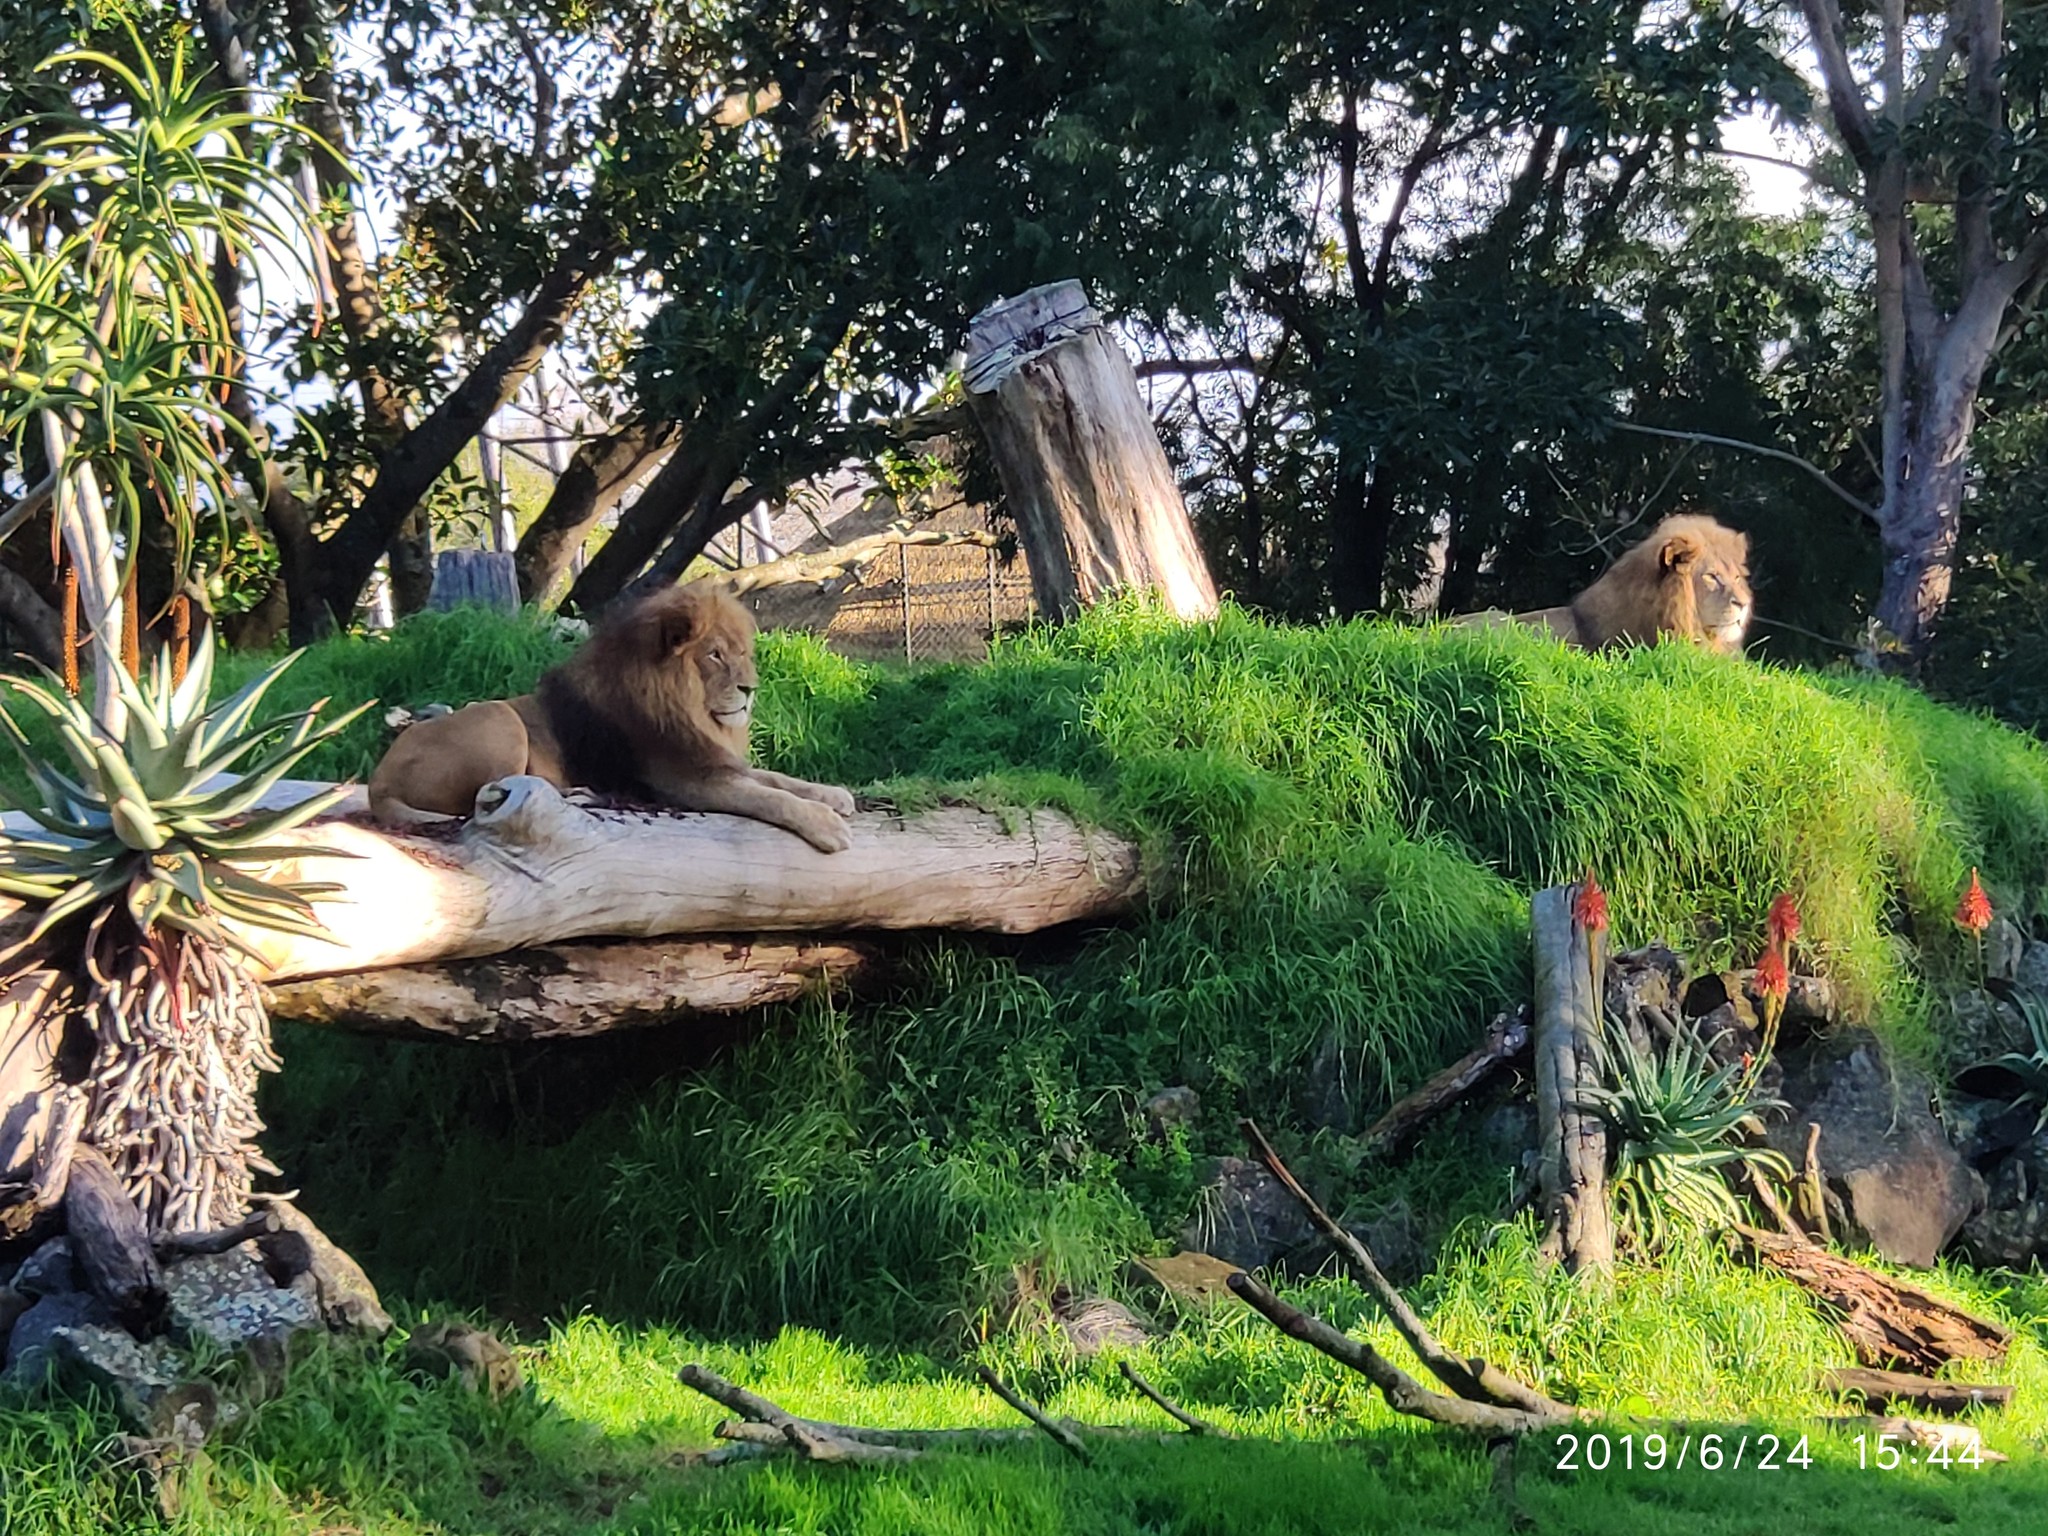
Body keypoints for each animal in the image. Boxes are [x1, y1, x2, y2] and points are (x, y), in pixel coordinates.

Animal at [368, 585, 856, 860]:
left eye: (740, 652)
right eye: (714, 654)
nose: (750, 689)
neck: (692, 710)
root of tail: (379, 780)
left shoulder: (711, 759)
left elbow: (778, 779)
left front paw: (833, 795)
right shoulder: (686, 781)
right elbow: (768, 797)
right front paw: (826, 825)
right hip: (498, 716)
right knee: (482, 798)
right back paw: (580, 795)